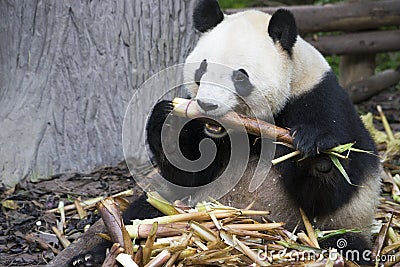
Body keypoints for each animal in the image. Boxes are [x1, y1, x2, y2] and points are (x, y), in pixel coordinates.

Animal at [71, 0, 382, 266]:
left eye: (240, 76)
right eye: (203, 68)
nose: (208, 105)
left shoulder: (320, 100)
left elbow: (329, 194)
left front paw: (316, 152)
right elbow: (187, 172)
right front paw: (167, 117)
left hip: (343, 227)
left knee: (344, 245)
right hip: (174, 207)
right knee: (143, 216)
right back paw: (90, 255)